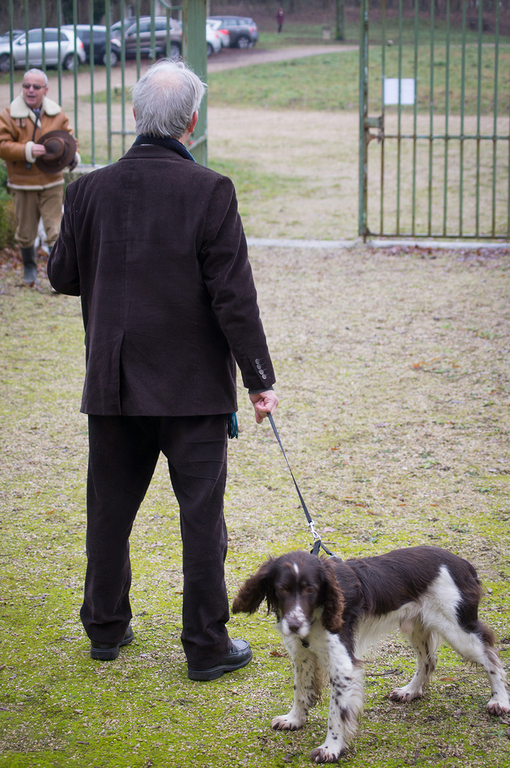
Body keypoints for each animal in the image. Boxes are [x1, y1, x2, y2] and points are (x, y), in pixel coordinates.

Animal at [232, 546, 510, 763]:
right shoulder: (302, 655)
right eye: (282, 589)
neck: (319, 611)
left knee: (491, 657)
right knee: (428, 660)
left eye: (310, 589)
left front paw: (330, 748)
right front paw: (294, 719)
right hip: (416, 625)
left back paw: (500, 701)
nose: (293, 625)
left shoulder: (343, 665)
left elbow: (336, 713)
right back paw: (410, 691)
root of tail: (463, 563)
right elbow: (301, 691)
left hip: (458, 631)